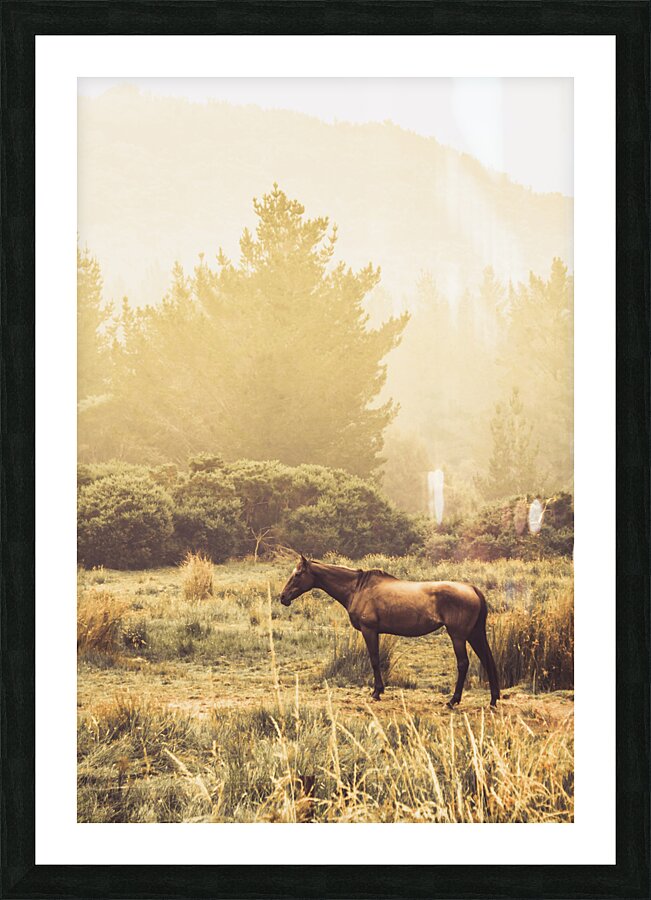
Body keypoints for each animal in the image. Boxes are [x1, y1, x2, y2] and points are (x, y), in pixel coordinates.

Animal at [279, 555, 500, 708]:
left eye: (297, 574)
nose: (283, 597)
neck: (357, 588)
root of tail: (472, 589)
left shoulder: (369, 630)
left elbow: (375, 659)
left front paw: (376, 692)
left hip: (458, 636)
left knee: (463, 664)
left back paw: (453, 700)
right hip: (474, 634)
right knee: (487, 659)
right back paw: (493, 699)